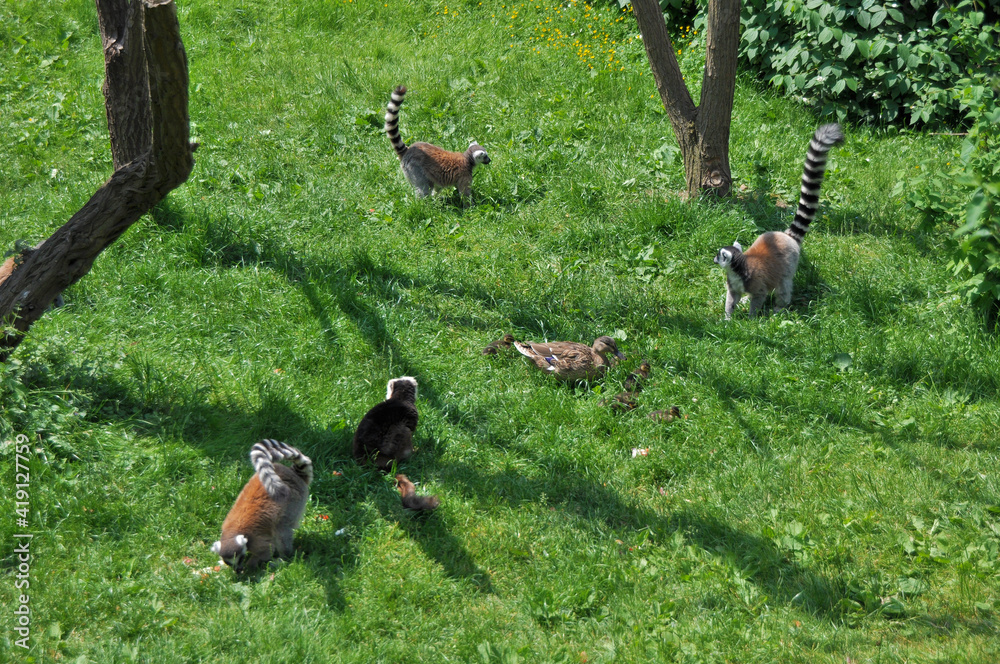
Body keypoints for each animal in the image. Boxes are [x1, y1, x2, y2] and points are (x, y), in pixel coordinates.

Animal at [211, 439, 312, 573]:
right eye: (229, 562)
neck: (232, 531)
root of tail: (294, 474)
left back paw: (283, 559)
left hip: (294, 502)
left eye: (241, 558)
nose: (238, 570)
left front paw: (250, 567)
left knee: (282, 529)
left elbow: (267, 550)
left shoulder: (255, 540)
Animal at [714, 124, 844, 319]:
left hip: (789, 265)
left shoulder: (755, 282)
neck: (738, 269)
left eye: (719, 254)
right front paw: (727, 319)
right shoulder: (734, 285)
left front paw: (750, 319)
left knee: (784, 286)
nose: (714, 259)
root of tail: (787, 236)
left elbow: (759, 296)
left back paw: (779, 309)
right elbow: (732, 298)